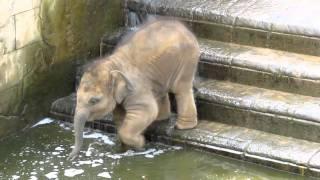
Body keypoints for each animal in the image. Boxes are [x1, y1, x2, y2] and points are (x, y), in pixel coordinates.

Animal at [68, 19, 199, 160]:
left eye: (94, 100)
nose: (70, 158)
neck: (112, 64)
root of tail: (185, 28)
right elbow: (120, 117)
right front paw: (125, 148)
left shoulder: (135, 87)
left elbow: (147, 110)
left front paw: (141, 143)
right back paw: (161, 119)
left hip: (187, 60)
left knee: (181, 88)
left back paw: (183, 127)